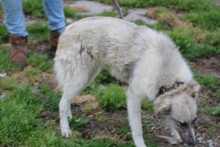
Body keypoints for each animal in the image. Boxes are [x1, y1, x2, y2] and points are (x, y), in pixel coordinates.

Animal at [54, 16, 200, 146]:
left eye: (194, 120)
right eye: (182, 123)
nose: (193, 144)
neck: (169, 77)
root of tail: (67, 28)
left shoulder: (160, 95)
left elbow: (167, 117)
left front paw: (174, 135)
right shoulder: (133, 97)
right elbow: (138, 130)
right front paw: (141, 145)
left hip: (88, 77)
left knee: (67, 98)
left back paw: (69, 116)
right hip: (80, 78)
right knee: (62, 102)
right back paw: (65, 130)